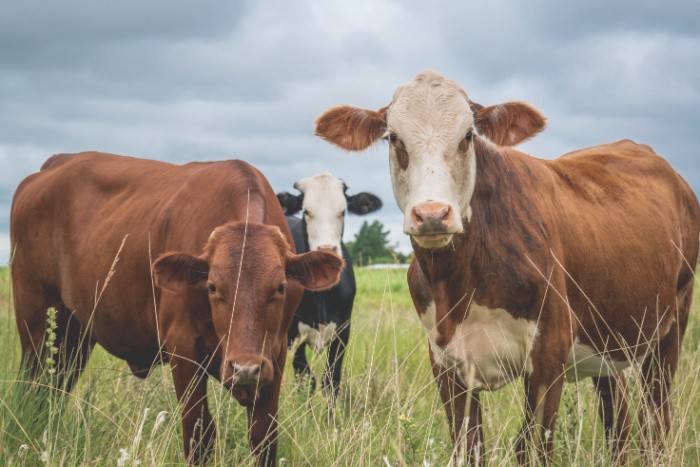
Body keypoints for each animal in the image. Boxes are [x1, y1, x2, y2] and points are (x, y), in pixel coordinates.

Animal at [7, 152, 342, 466]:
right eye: (212, 287)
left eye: (281, 287)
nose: (245, 368)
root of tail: (53, 165)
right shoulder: (183, 349)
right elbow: (199, 435)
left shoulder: (276, 353)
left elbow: (263, 438)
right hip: (36, 325)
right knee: (33, 391)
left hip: (74, 336)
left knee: (54, 390)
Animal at [276, 173, 382, 398]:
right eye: (307, 211)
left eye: (342, 211)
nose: (326, 251)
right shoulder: (292, 335)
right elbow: (306, 381)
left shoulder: (342, 331)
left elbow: (331, 382)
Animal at [316, 71, 700, 466]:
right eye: (394, 137)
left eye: (468, 136)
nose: (432, 215)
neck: (459, 284)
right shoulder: (446, 363)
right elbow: (468, 446)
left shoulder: (548, 356)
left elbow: (532, 447)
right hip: (608, 335)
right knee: (617, 416)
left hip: (671, 324)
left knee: (656, 418)